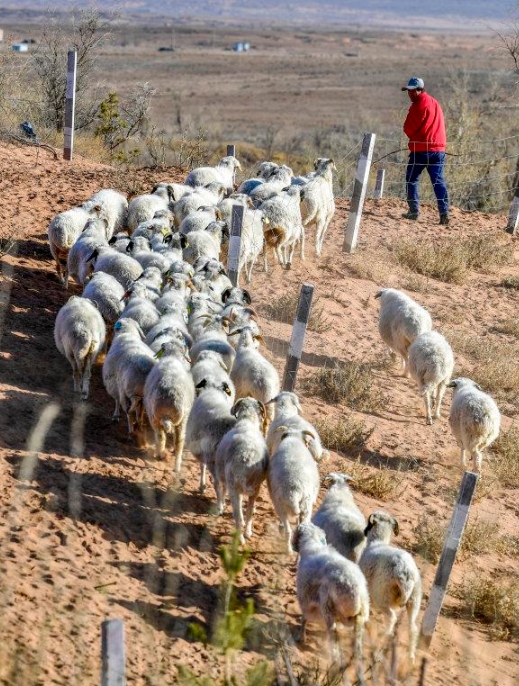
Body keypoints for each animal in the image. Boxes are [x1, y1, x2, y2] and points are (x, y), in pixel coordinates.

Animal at [215, 398, 270, 544]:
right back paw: (247, 533)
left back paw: (240, 538)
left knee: (238, 515)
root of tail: (246, 456)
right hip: (253, 489)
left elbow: (221, 491)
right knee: (247, 513)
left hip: (234, 487)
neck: (248, 420)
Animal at [268, 428, 320, 556]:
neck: (293, 439)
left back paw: (288, 550)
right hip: (304, 508)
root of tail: (294, 490)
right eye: (307, 443)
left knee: (288, 531)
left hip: (282, 506)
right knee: (295, 531)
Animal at [292, 520, 370, 676]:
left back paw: (334, 663)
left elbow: (304, 618)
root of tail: (354, 590)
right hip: (360, 616)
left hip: (328, 607)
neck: (312, 545)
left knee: (333, 637)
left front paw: (301, 638)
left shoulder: (304, 598)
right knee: (356, 645)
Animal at [360, 512, 424, 664]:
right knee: (413, 628)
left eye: (369, 523)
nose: (364, 531)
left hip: (382, 596)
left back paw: (378, 653)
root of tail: (405, 573)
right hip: (414, 600)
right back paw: (411, 658)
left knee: (391, 620)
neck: (378, 541)